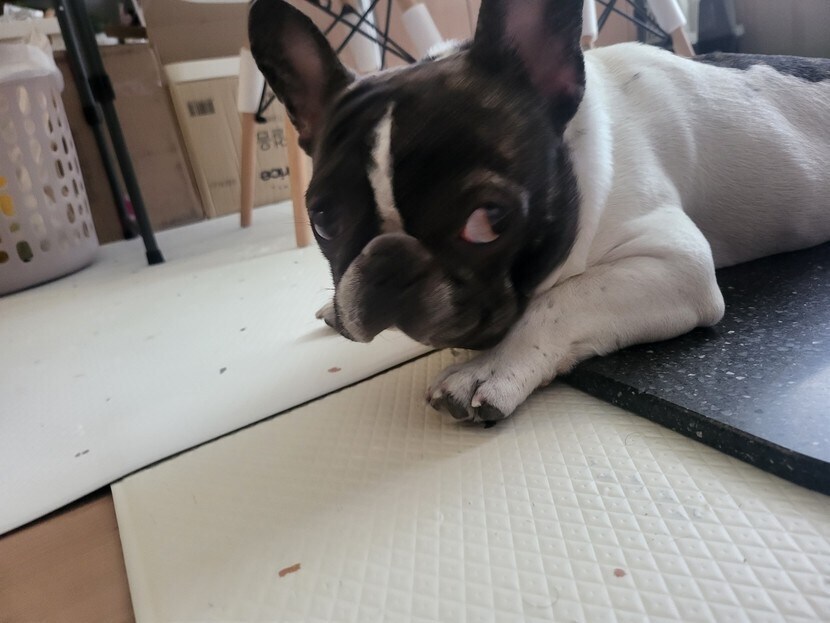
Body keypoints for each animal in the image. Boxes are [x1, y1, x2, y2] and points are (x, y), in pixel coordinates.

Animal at [249, 0, 830, 423]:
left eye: (488, 220)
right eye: (324, 221)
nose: (388, 262)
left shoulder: (675, 261)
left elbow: (560, 301)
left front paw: (490, 369)